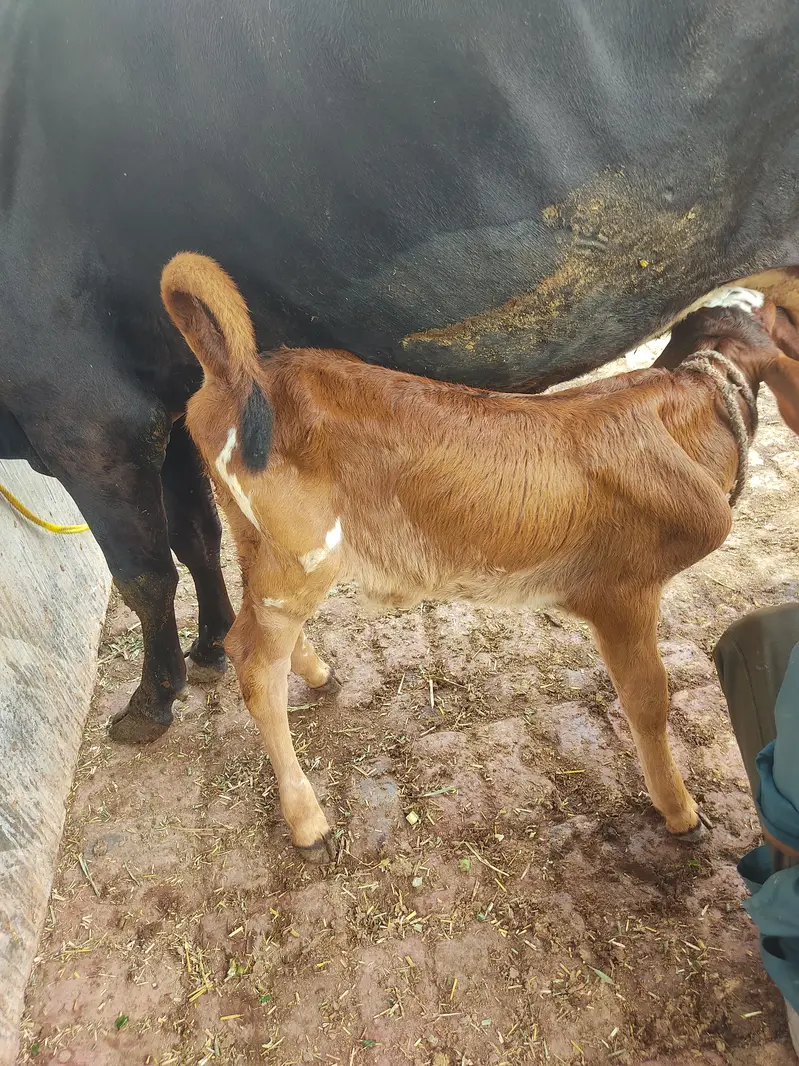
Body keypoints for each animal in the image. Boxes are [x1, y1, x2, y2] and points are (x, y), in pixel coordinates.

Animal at [2, 0, 799, 743]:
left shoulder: (85, 417)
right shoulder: (160, 404)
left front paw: (150, 699)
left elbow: (144, 575)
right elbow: (195, 538)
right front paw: (209, 647)